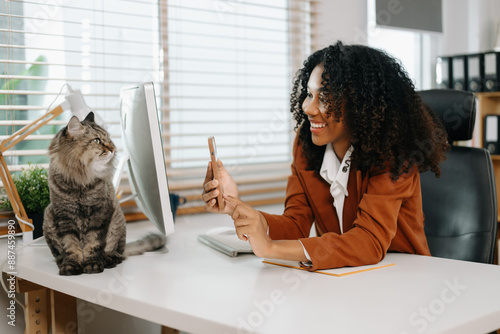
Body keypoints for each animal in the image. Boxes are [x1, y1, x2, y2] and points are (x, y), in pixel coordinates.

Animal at [43, 113, 166, 276]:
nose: (113, 148)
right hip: (48, 215)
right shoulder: (64, 216)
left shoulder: (99, 213)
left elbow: (93, 244)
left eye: (108, 139)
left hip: (116, 223)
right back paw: (62, 261)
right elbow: (70, 246)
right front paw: (71, 265)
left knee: (117, 253)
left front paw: (92, 264)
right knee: (58, 254)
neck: (80, 181)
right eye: (97, 140)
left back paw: (107, 260)